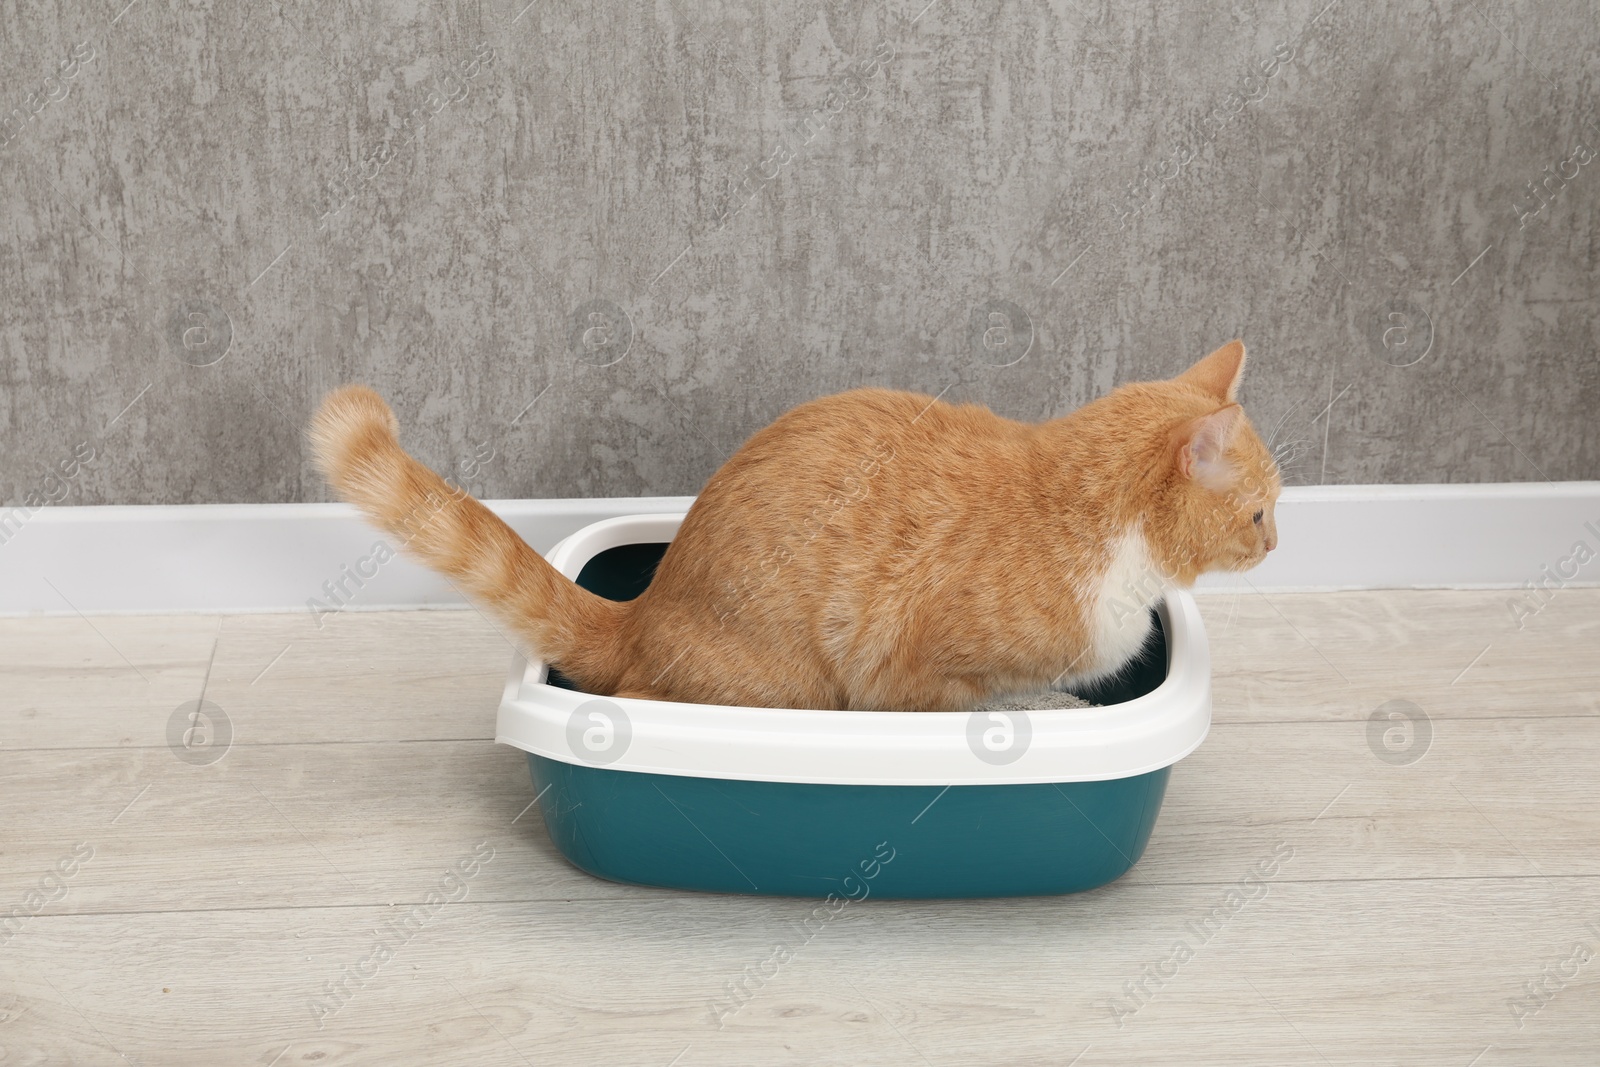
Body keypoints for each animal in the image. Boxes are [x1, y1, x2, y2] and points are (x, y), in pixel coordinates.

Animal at [312, 337, 1280, 713]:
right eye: (1261, 510)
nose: (1278, 544)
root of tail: (644, 611)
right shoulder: (911, 679)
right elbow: (998, 696)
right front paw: (1045, 702)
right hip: (782, 687)